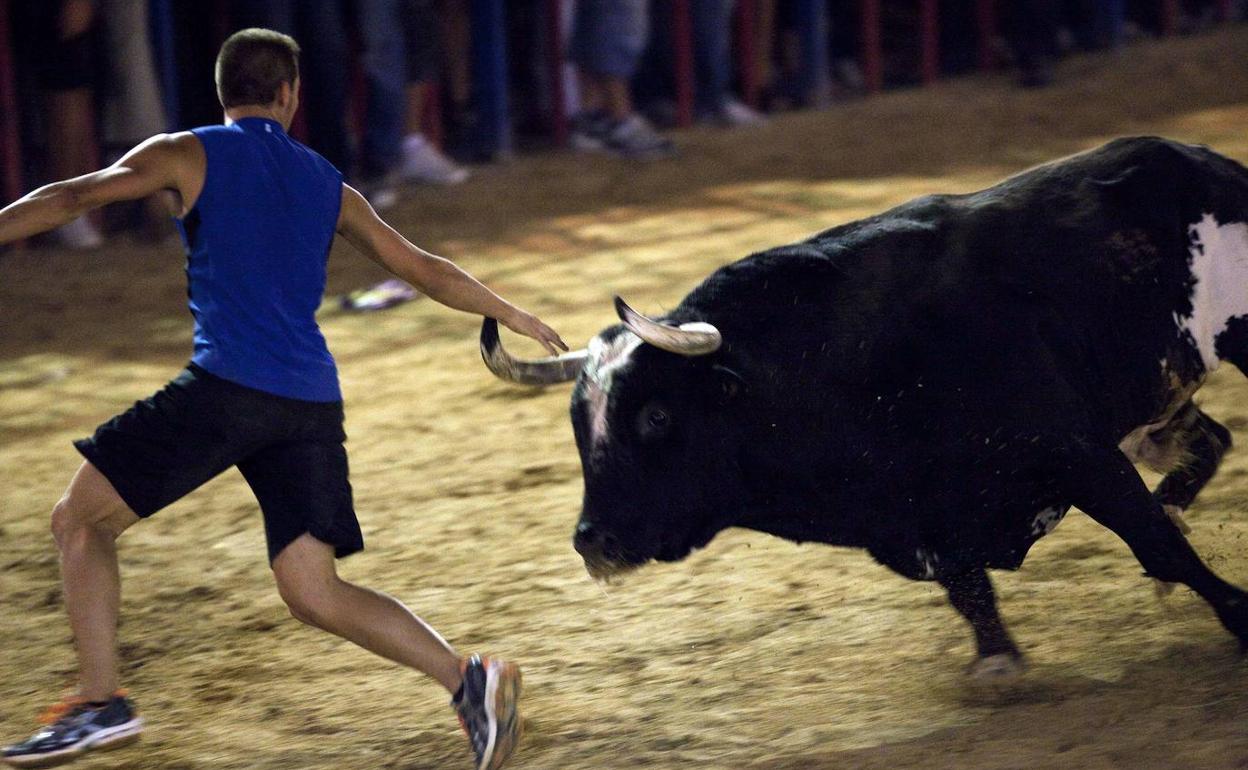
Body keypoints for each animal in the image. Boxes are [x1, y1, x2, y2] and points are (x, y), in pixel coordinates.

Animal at [481, 137, 1248, 678]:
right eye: (579, 426)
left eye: (657, 416)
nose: (593, 539)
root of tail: (1203, 161)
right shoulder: (922, 519)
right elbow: (970, 591)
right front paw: (998, 662)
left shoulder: (1078, 453)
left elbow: (1157, 544)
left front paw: (1237, 612)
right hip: (1155, 408)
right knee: (1210, 441)